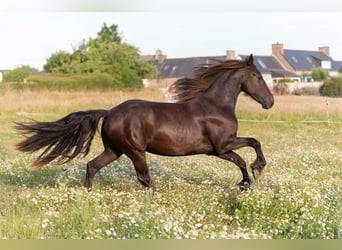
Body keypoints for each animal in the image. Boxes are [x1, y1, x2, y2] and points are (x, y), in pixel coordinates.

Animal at [14, 54, 274, 190]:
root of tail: (109, 112)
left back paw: (87, 193)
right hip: (135, 151)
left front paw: (245, 182)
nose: (270, 102)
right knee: (143, 177)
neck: (216, 105)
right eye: (258, 77)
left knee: (92, 166)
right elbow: (254, 143)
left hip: (114, 150)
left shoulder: (216, 150)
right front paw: (257, 170)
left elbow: (241, 159)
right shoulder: (222, 144)